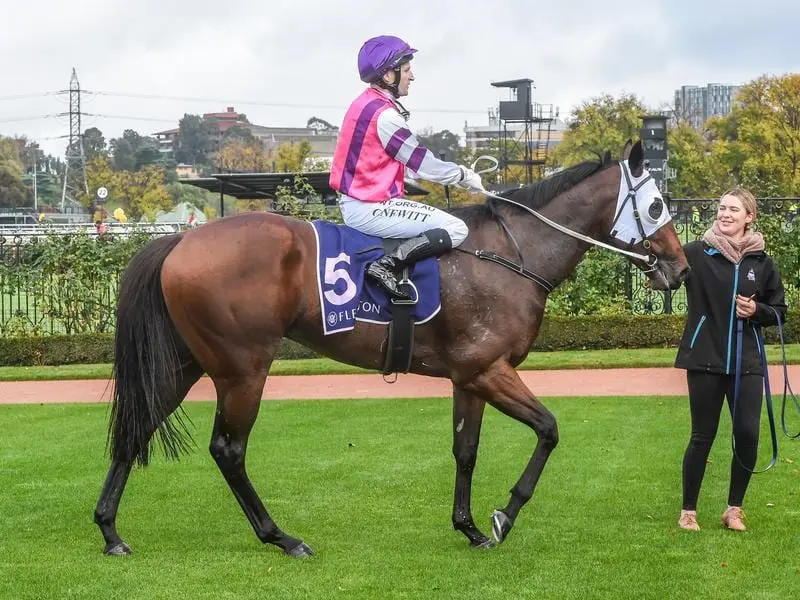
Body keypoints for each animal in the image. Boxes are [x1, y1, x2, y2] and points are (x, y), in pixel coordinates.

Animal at [97, 141, 692, 556]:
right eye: (656, 205)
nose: (681, 269)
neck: (510, 255)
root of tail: (182, 238)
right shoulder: (490, 369)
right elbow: (548, 429)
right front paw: (504, 516)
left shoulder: (469, 377)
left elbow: (466, 450)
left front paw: (470, 527)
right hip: (243, 369)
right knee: (228, 449)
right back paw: (281, 537)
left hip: (186, 363)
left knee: (136, 427)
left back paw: (110, 531)